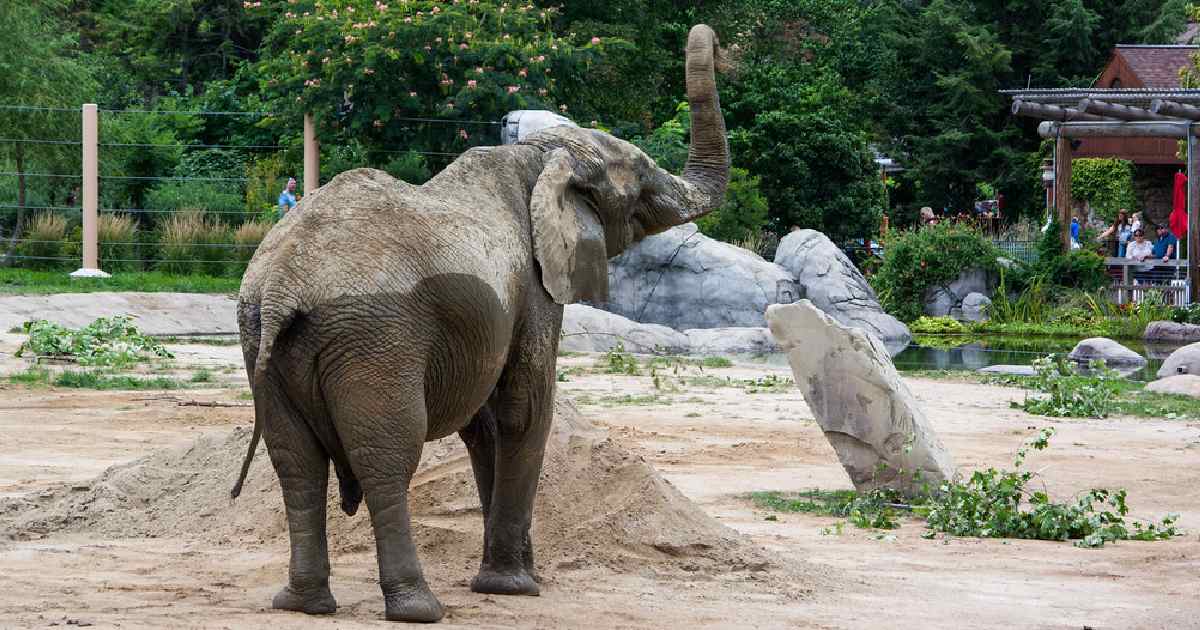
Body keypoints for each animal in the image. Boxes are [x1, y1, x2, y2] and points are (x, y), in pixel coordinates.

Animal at [228, 23, 724, 619]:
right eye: (643, 181)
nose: (711, 39)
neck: (538, 156)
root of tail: (281, 284)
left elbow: (485, 424)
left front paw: (518, 575)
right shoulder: (535, 287)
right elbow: (524, 409)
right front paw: (515, 587)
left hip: (262, 340)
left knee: (294, 461)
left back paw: (303, 604)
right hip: (374, 340)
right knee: (386, 456)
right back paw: (418, 607)